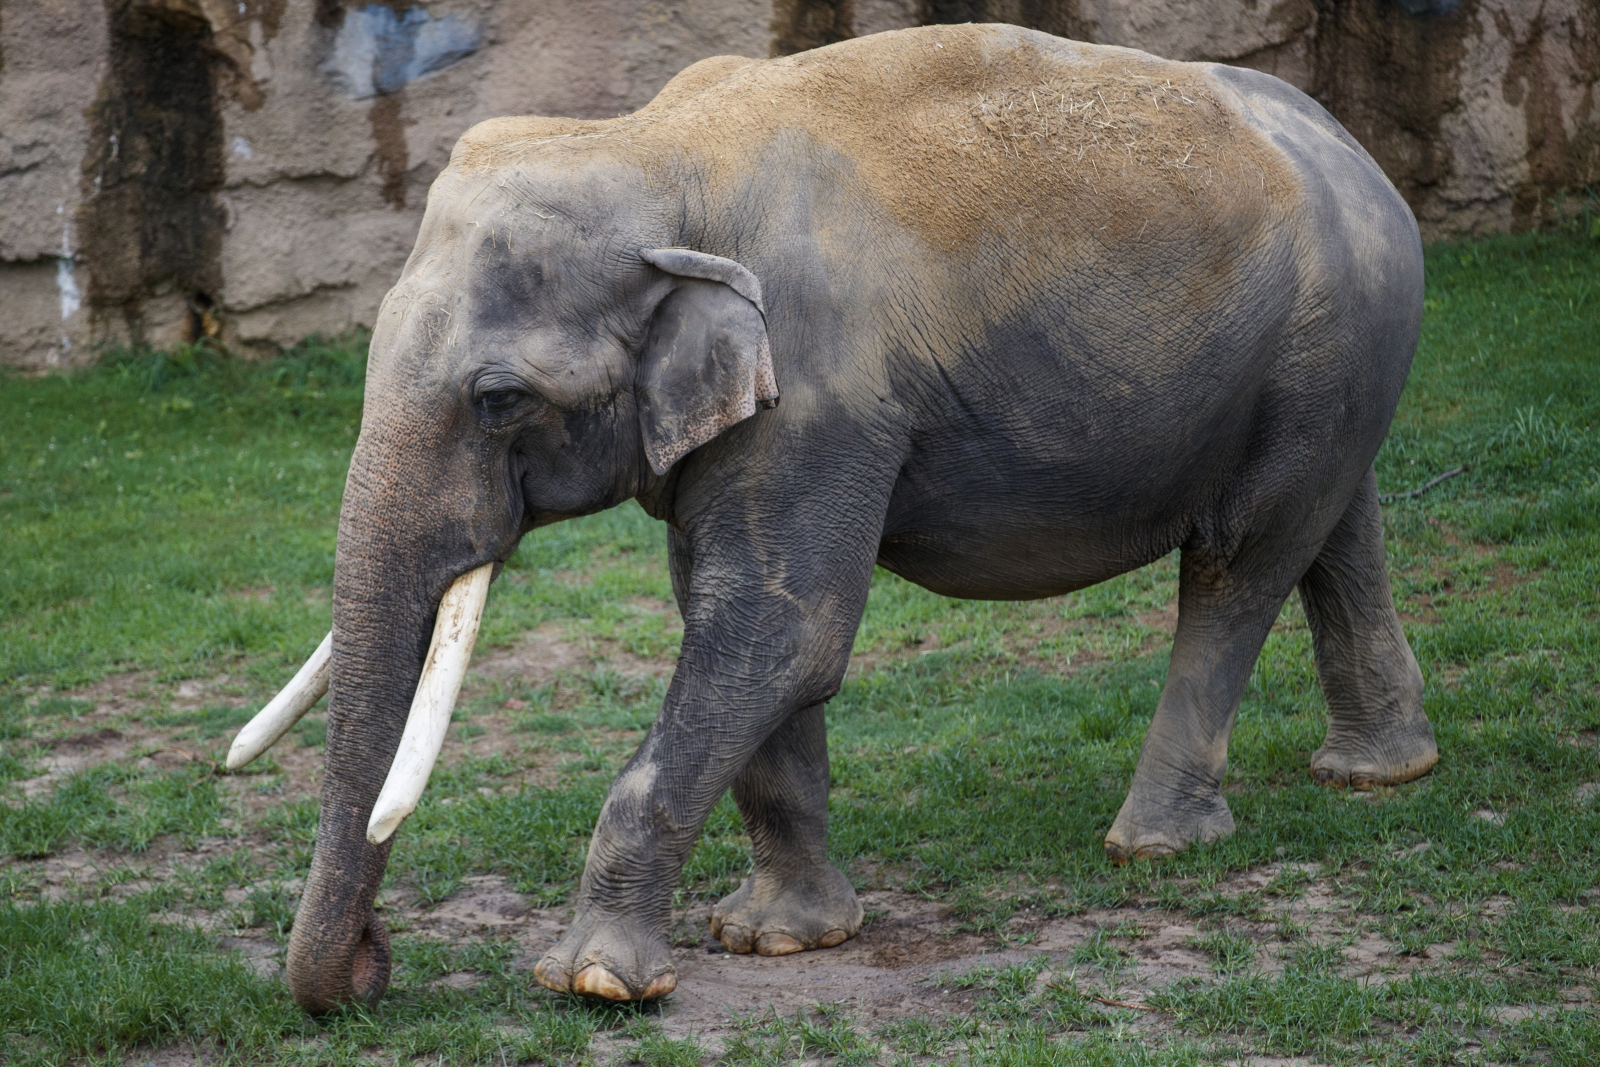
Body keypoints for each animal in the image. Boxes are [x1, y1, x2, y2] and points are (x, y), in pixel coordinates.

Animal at [232, 20, 1446, 1017]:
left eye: (496, 400)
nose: (374, 962)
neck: (652, 150)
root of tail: (1361, 158)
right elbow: (741, 628)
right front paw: (780, 938)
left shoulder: (823, 391)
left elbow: (781, 627)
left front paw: (593, 980)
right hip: (1329, 359)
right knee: (1334, 528)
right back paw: (1379, 773)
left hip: (1320, 339)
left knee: (1240, 561)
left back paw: (1154, 846)